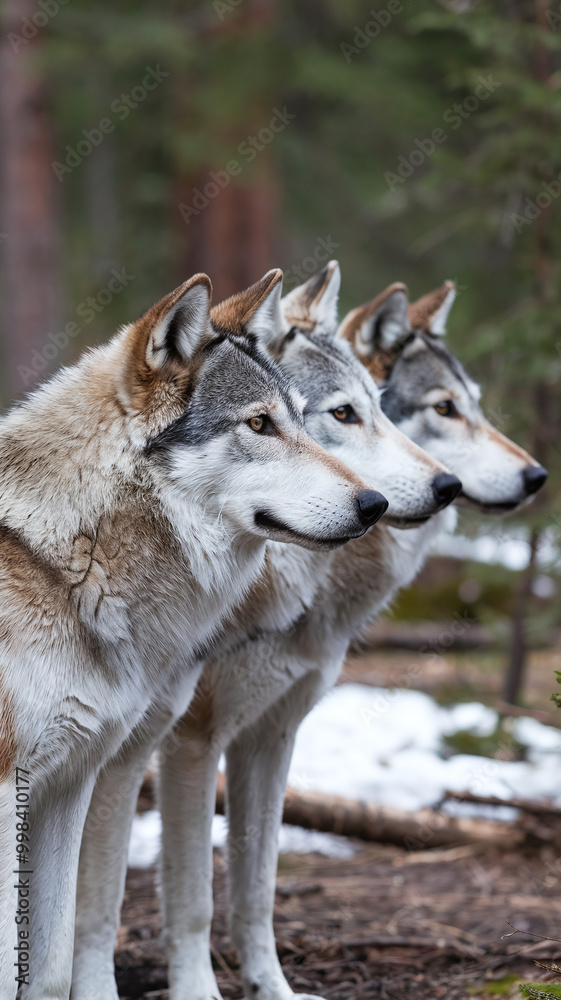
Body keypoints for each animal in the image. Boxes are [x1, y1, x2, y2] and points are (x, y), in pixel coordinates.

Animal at [0, 268, 387, 1000]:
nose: (374, 503)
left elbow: (52, 966)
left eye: (304, 419)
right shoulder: (15, 783)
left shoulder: (68, 782)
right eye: (259, 424)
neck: (70, 557)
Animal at [70, 264, 461, 1000]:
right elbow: (183, 896)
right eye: (342, 414)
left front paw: (270, 988)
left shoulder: (266, 738)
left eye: (379, 407)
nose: (444, 485)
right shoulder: (186, 745)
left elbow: (256, 886)